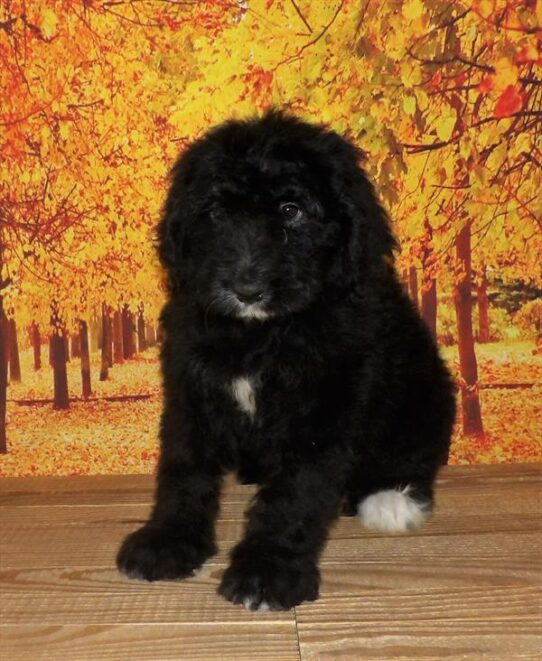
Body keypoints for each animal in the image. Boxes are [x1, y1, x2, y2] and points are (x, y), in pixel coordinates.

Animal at [117, 109, 456, 608]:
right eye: (216, 213)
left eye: (291, 211)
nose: (246, 289)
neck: (259, 333)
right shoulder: (192, 386)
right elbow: (183, 468)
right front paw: (168, 540)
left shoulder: (323, 407)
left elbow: (296, 492)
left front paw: (268, 570)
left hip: (425, 390)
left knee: (414, 451)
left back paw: (391, 498)